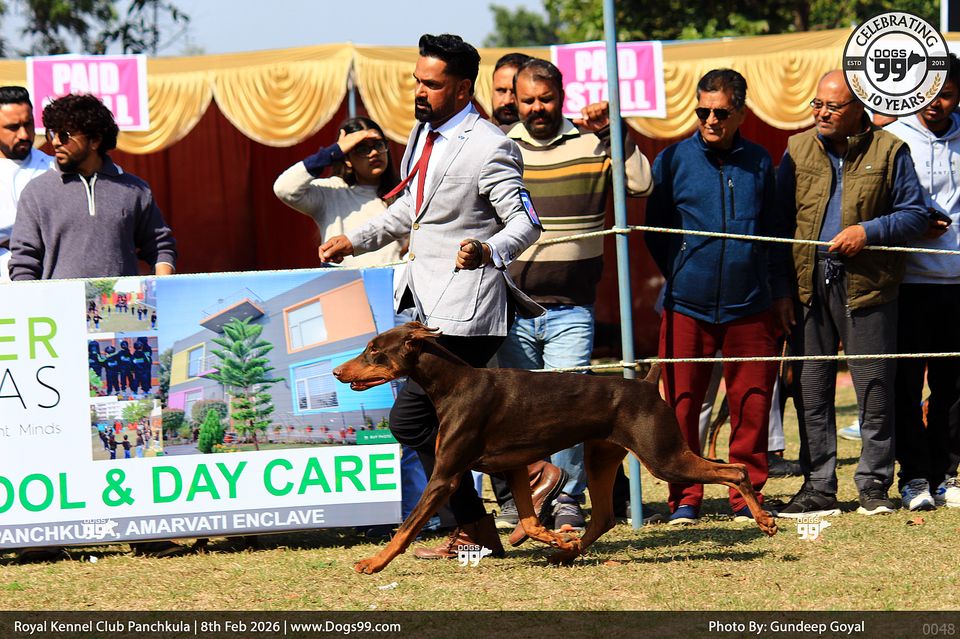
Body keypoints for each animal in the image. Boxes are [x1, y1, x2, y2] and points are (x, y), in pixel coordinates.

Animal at [333, 322, 777, 574]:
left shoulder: (446, 475)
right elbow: (529, 522)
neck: (454, 384)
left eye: (374, 350)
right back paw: (567, 552)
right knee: (605, 517)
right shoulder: (512, 466)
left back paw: (765, 520)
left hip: (663, 457)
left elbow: (406, 528)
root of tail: (648, 384)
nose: (337, 371)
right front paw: (557, 540)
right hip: (602, 458)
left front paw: (373, 562)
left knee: (735, 470)